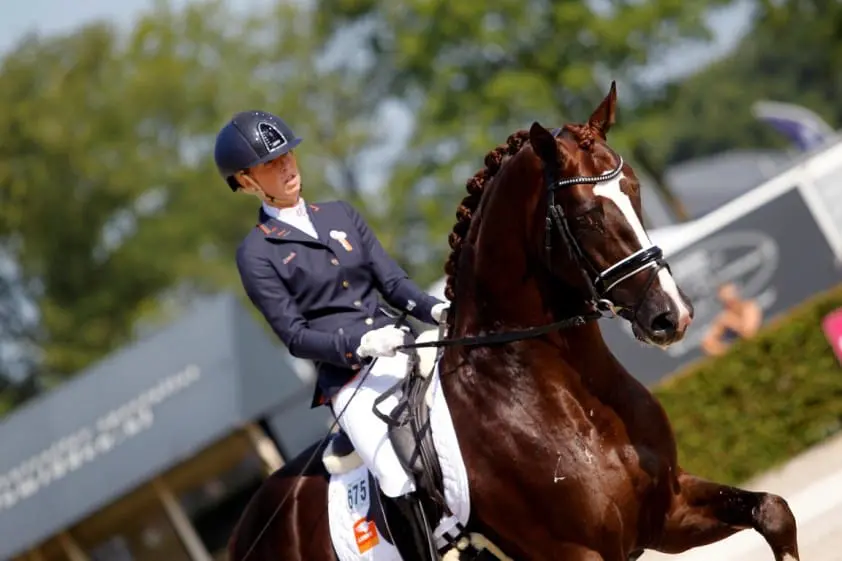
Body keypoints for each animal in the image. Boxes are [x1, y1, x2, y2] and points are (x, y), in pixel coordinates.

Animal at [226, 82, 799, 561]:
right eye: (587, 215)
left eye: (634, 189)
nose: (670, 316)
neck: (573, 399)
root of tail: (246, 527)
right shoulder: (576, 555)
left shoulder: (670, 511)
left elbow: (773, 510)